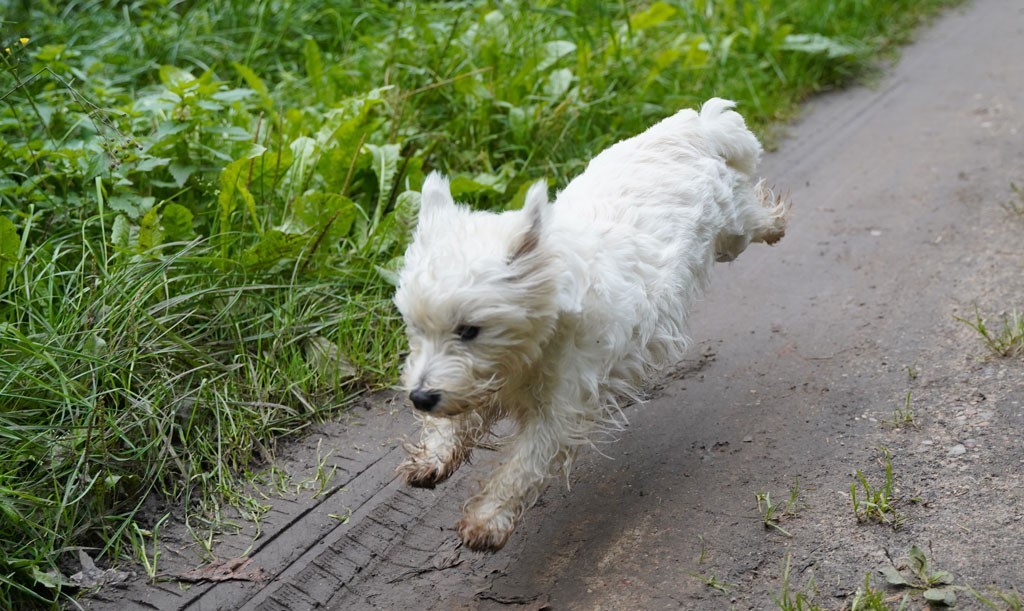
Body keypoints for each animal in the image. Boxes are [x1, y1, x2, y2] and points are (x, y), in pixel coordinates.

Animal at [391, 97, 782, 548]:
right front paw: (433, 458)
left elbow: (524, 465)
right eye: (416, 328)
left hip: (732, 230)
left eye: (469, 330)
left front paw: (487, 519)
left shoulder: (561, 408)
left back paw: (775, 223)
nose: (420, 398)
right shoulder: (472, 386)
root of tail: (693, 129)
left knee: (755, 213)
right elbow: (453, 423)